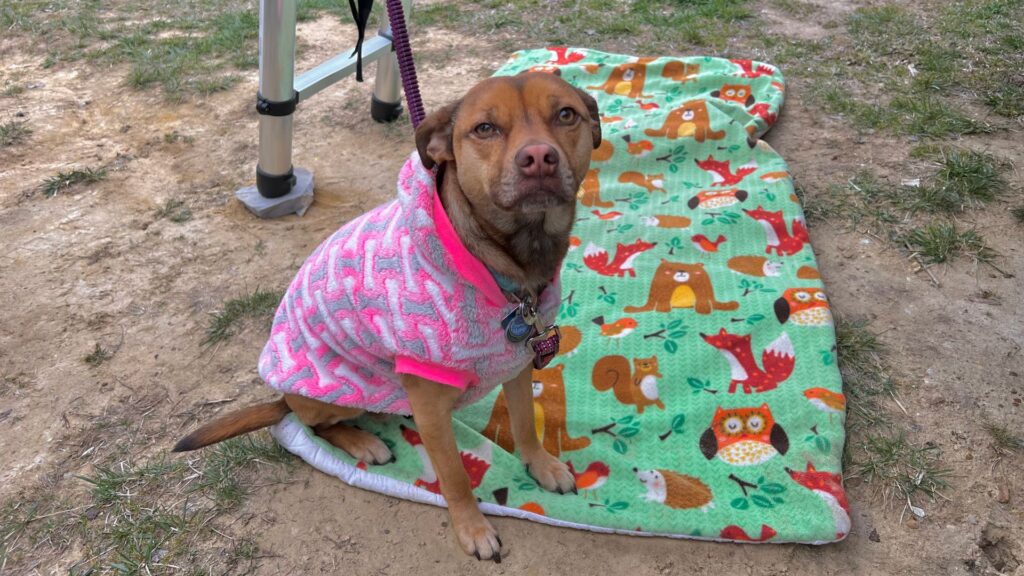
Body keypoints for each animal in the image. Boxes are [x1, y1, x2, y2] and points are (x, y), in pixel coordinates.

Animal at [174, 72, 598, 561]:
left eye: (566, 114)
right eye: (485, 128)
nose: (538, 158)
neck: (510, 265)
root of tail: (283, 394)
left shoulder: (517, 364)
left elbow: (526, 424)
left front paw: (541, 465)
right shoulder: (432, 401)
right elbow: (454, 476)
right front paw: (472, 528)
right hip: (334, 392)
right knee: (309, 424)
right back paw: (363, 441)